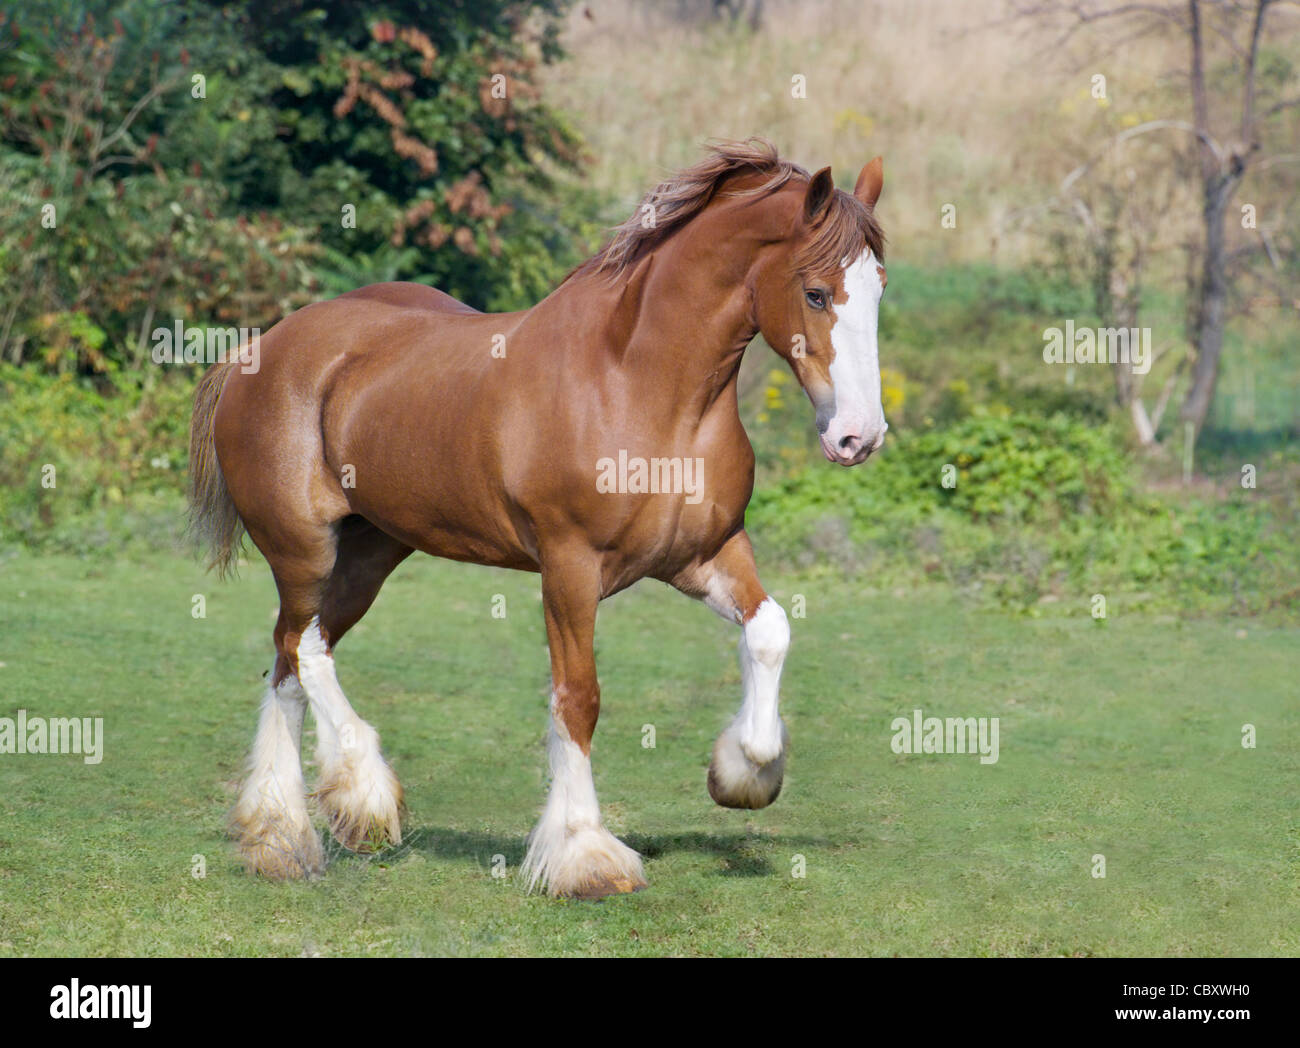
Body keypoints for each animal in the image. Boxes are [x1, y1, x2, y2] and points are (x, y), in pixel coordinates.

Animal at [187, 138, 888, 899]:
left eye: (879, 288)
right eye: (816, 293)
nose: (859, 436)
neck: (639, 385)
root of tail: (260, 349)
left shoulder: (706, 555)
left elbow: (770, 632)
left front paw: (743, 772)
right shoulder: (570, 568)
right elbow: (577, 699)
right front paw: (585, 855)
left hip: (374, 552)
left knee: (291, 657)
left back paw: (286, 833)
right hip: (303, 549)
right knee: (303, 649)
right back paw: (344, 806)